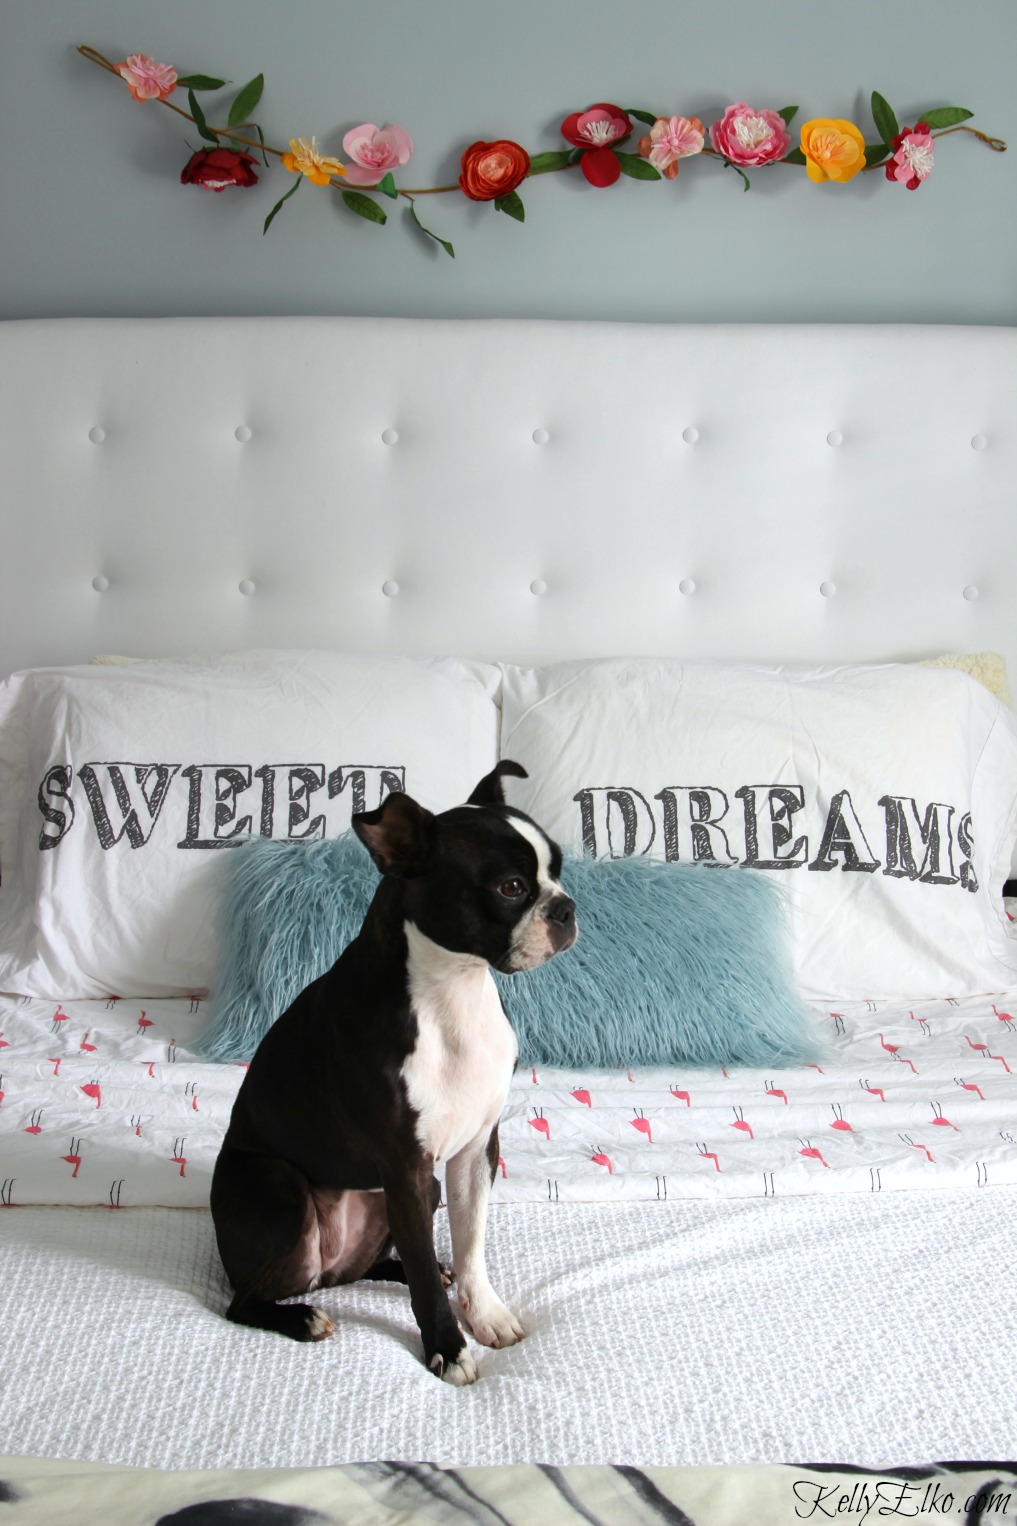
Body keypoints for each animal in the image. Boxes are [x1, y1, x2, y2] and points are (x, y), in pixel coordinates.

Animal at [209, 759, 574, 1385]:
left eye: (559, 869)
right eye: (511, 888)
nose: (568, 908)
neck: (454, 993)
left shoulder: (472, 1153)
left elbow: (470, 1244)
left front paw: (485, 1313)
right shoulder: (405, 1165)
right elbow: (425, 1277)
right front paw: (447, 1348)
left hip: (407, 1194)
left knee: (379, 1261)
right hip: (280, 1187)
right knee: (245, 1300)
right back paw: (302, 1317)